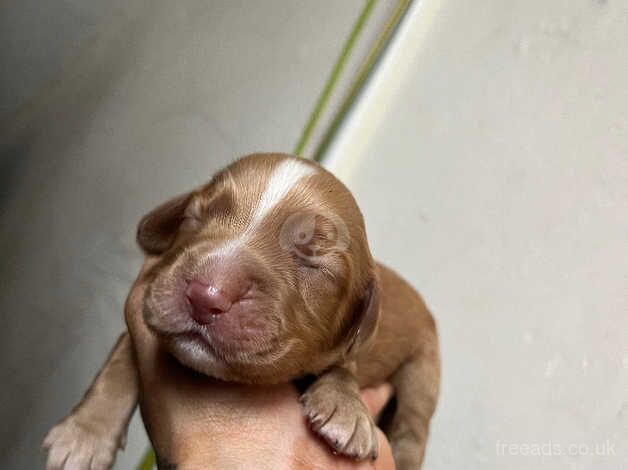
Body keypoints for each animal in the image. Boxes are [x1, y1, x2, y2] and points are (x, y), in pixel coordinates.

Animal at [43, 152, 442, 468]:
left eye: (313, 262)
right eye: (194, 217)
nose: (206, 295)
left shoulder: (349, 350)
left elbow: (345, 367)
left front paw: (346, 408)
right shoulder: (148, 297)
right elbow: (119, 364)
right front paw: (83, 436)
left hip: (423, 371)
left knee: (413, 429)